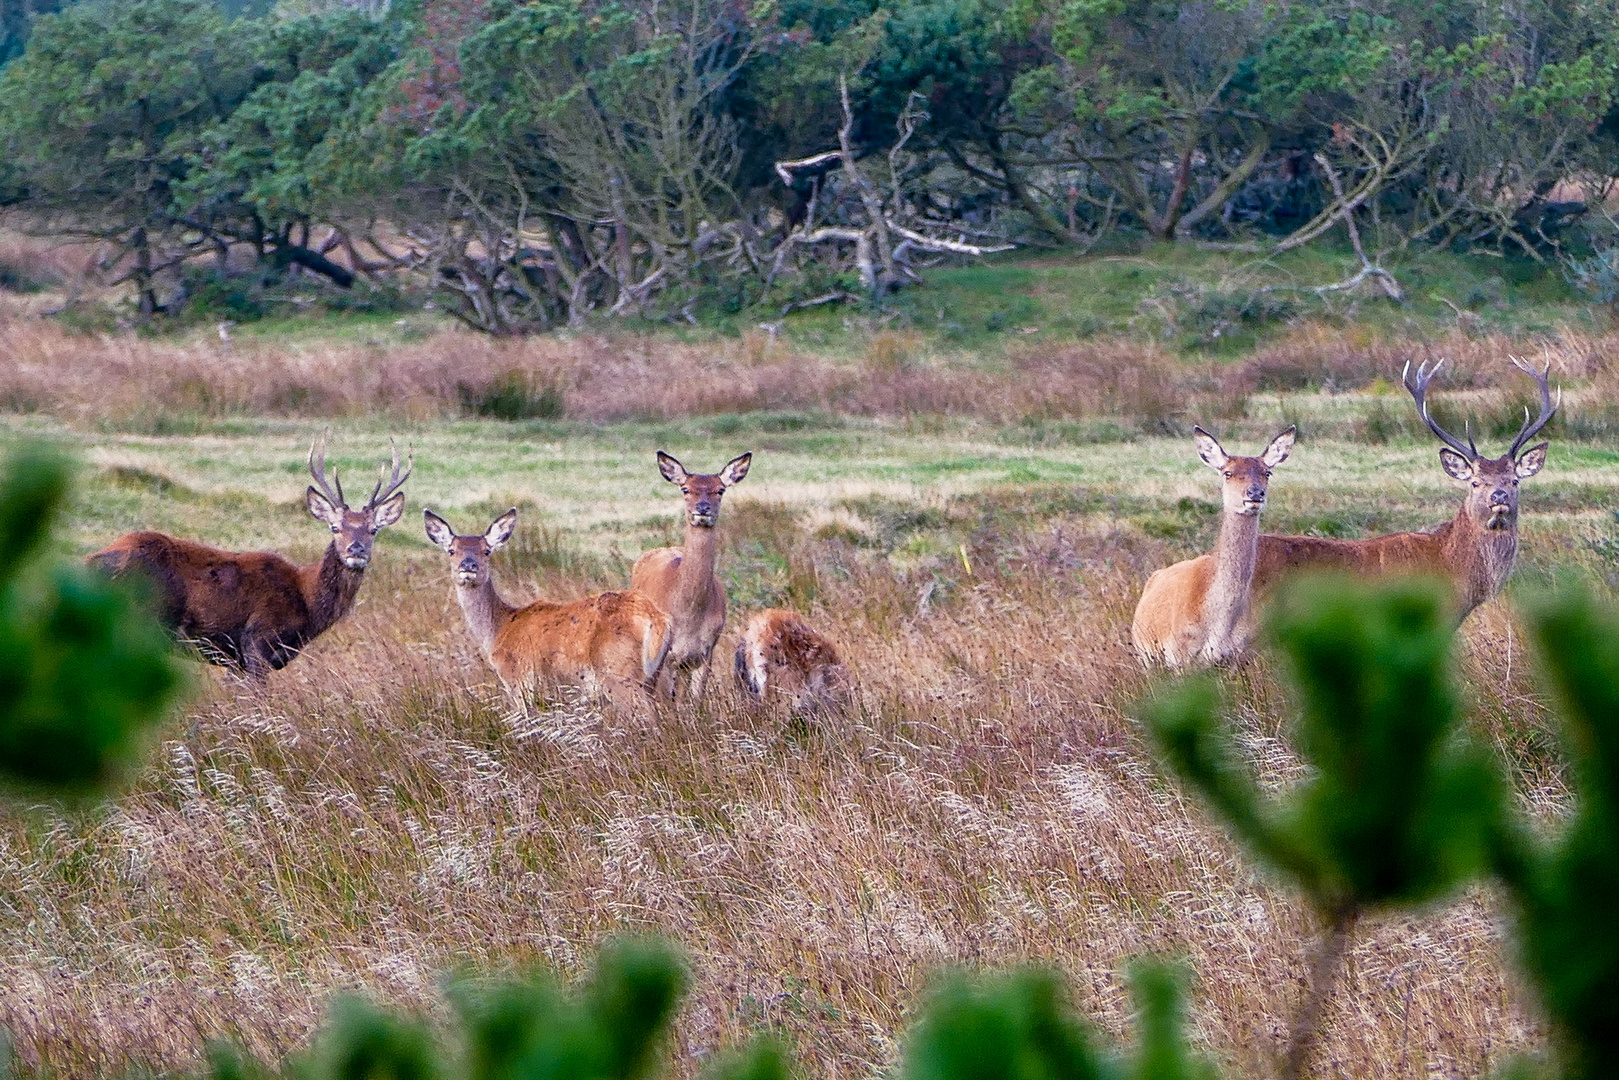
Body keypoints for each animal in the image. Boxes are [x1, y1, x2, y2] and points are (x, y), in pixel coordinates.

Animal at [88, 427, 411, 676]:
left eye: (373, 530)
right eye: (335, 527)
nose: (356, 549)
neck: (305, 600)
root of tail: (90, 562)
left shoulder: (235, 660)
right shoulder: (257, 643)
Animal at [427, 508, 673, 709]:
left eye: (486, 550)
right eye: (451, 550)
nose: (468, 566)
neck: (498, 629)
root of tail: (657, 618)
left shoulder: (517, 679)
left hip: (618, 672)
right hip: (658, 677)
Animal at [634, 446, 754, 702]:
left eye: (720, 489)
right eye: (685, 489)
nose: (702, 508)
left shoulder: (707, 652)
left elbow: (696, 701)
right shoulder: (666, 655)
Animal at [1133, 424, 1295, 667]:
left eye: (1267, 472)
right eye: (1227, 472)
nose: (1255, 493)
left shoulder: (1234, 658)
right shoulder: (1177, 656)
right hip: (1145, 656)